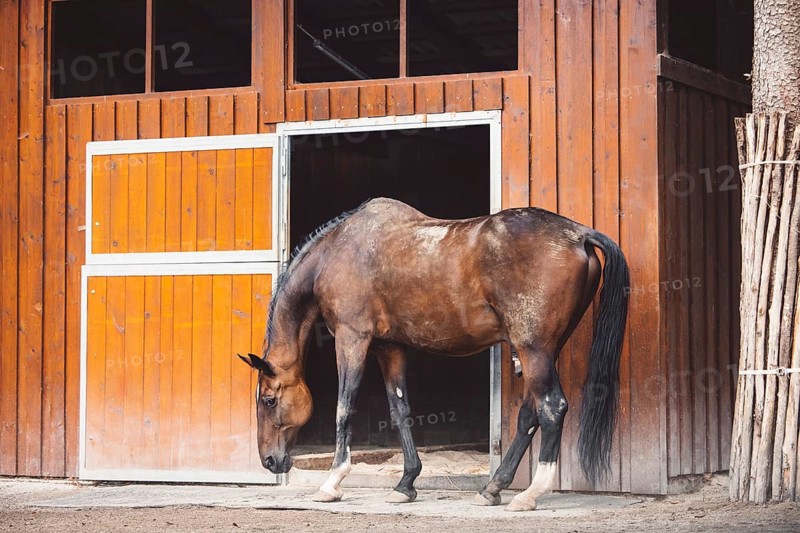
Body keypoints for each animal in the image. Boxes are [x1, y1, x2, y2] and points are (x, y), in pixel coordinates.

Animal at [239, 197, 629, 511]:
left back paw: (529, 494)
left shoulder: (352, 339)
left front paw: (332, 484)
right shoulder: (389, 347)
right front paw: (405, 484)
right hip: (544, 349)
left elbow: (343, 409)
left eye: (269, 400)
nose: (270, 461)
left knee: (551, 408)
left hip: (533, 348)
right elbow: (400, 411)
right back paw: (492, 488)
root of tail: (578, 234)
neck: (335, 252)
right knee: (530, 415)